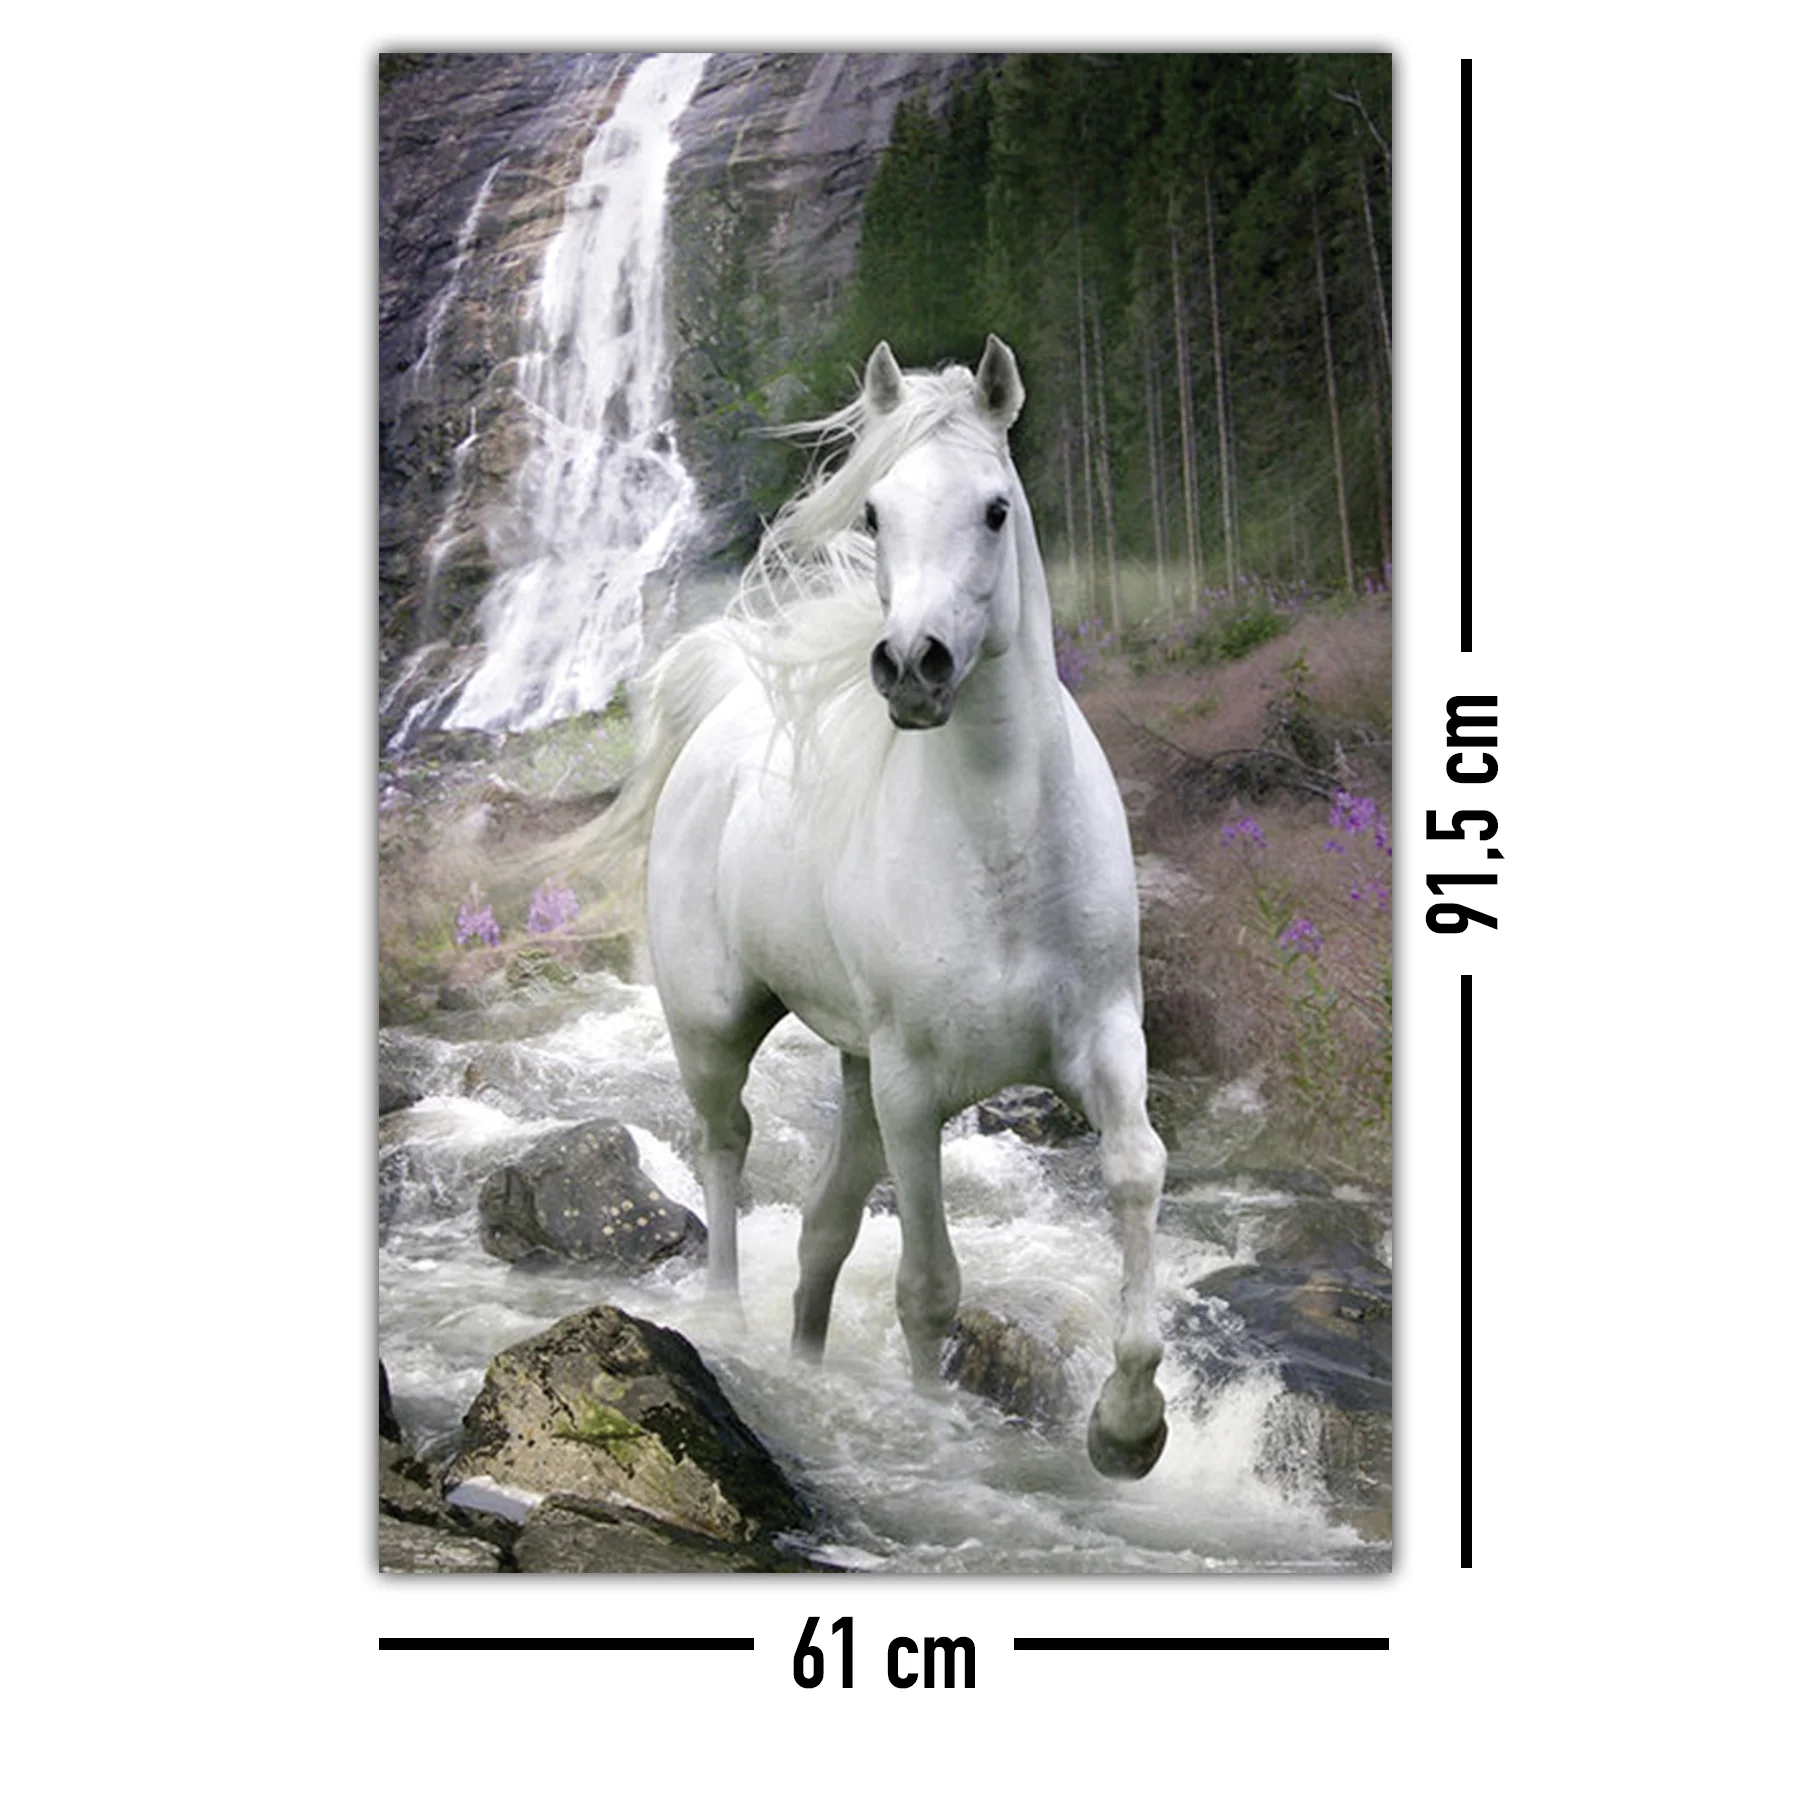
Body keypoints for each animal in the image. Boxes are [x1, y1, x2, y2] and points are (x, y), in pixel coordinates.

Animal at [613, 336, 1168, 1479]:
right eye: (873, 513)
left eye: (995, 509)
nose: (914, 667)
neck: (1002, 847)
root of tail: (723, 708)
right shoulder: (917, 1092)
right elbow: (928, 1286)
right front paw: (931, 1430)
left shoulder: (1106, 1038)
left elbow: (1136, 1170)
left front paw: (1129, 1428)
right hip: (717, 1030)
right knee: (727, 1146)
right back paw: (726, 1323)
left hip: (857, 1069)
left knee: (824, 1225)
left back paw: (804, 1356)